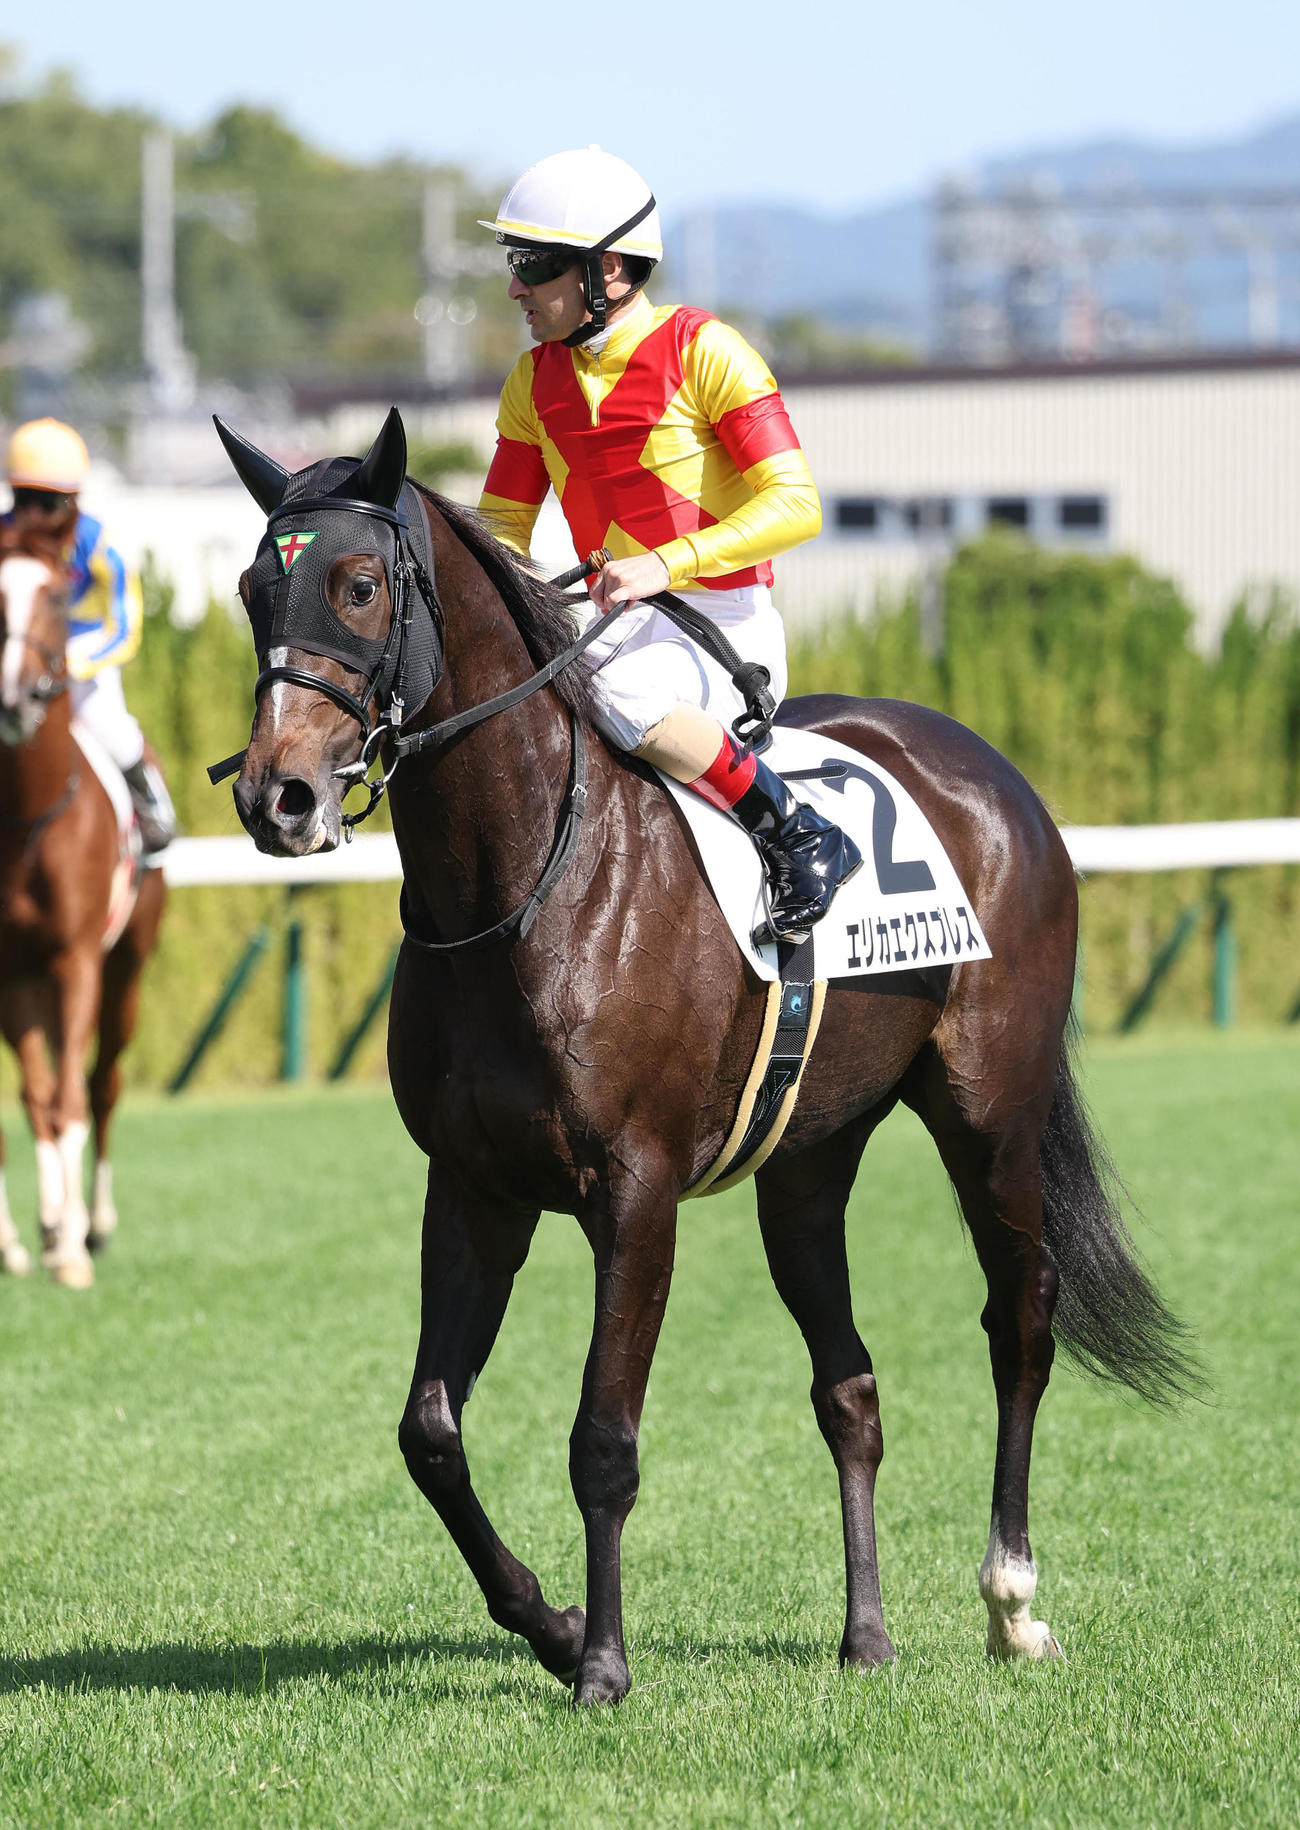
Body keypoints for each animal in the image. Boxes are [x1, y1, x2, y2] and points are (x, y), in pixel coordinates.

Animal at [216, 408, 1191, 1706]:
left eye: (360, 584)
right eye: (251, 590)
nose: (277, 797)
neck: (523, 886)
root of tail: (996, 777)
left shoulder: (634, 1191)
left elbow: (602, 1438)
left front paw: (602, 1664)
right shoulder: (471, 1188)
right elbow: (429, 1433)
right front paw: (553, 1623)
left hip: (991, 1112)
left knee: (1019, 1320)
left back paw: (1011, 1601)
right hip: (807, 1162)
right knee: (849, 1386)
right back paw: (865, 1633)